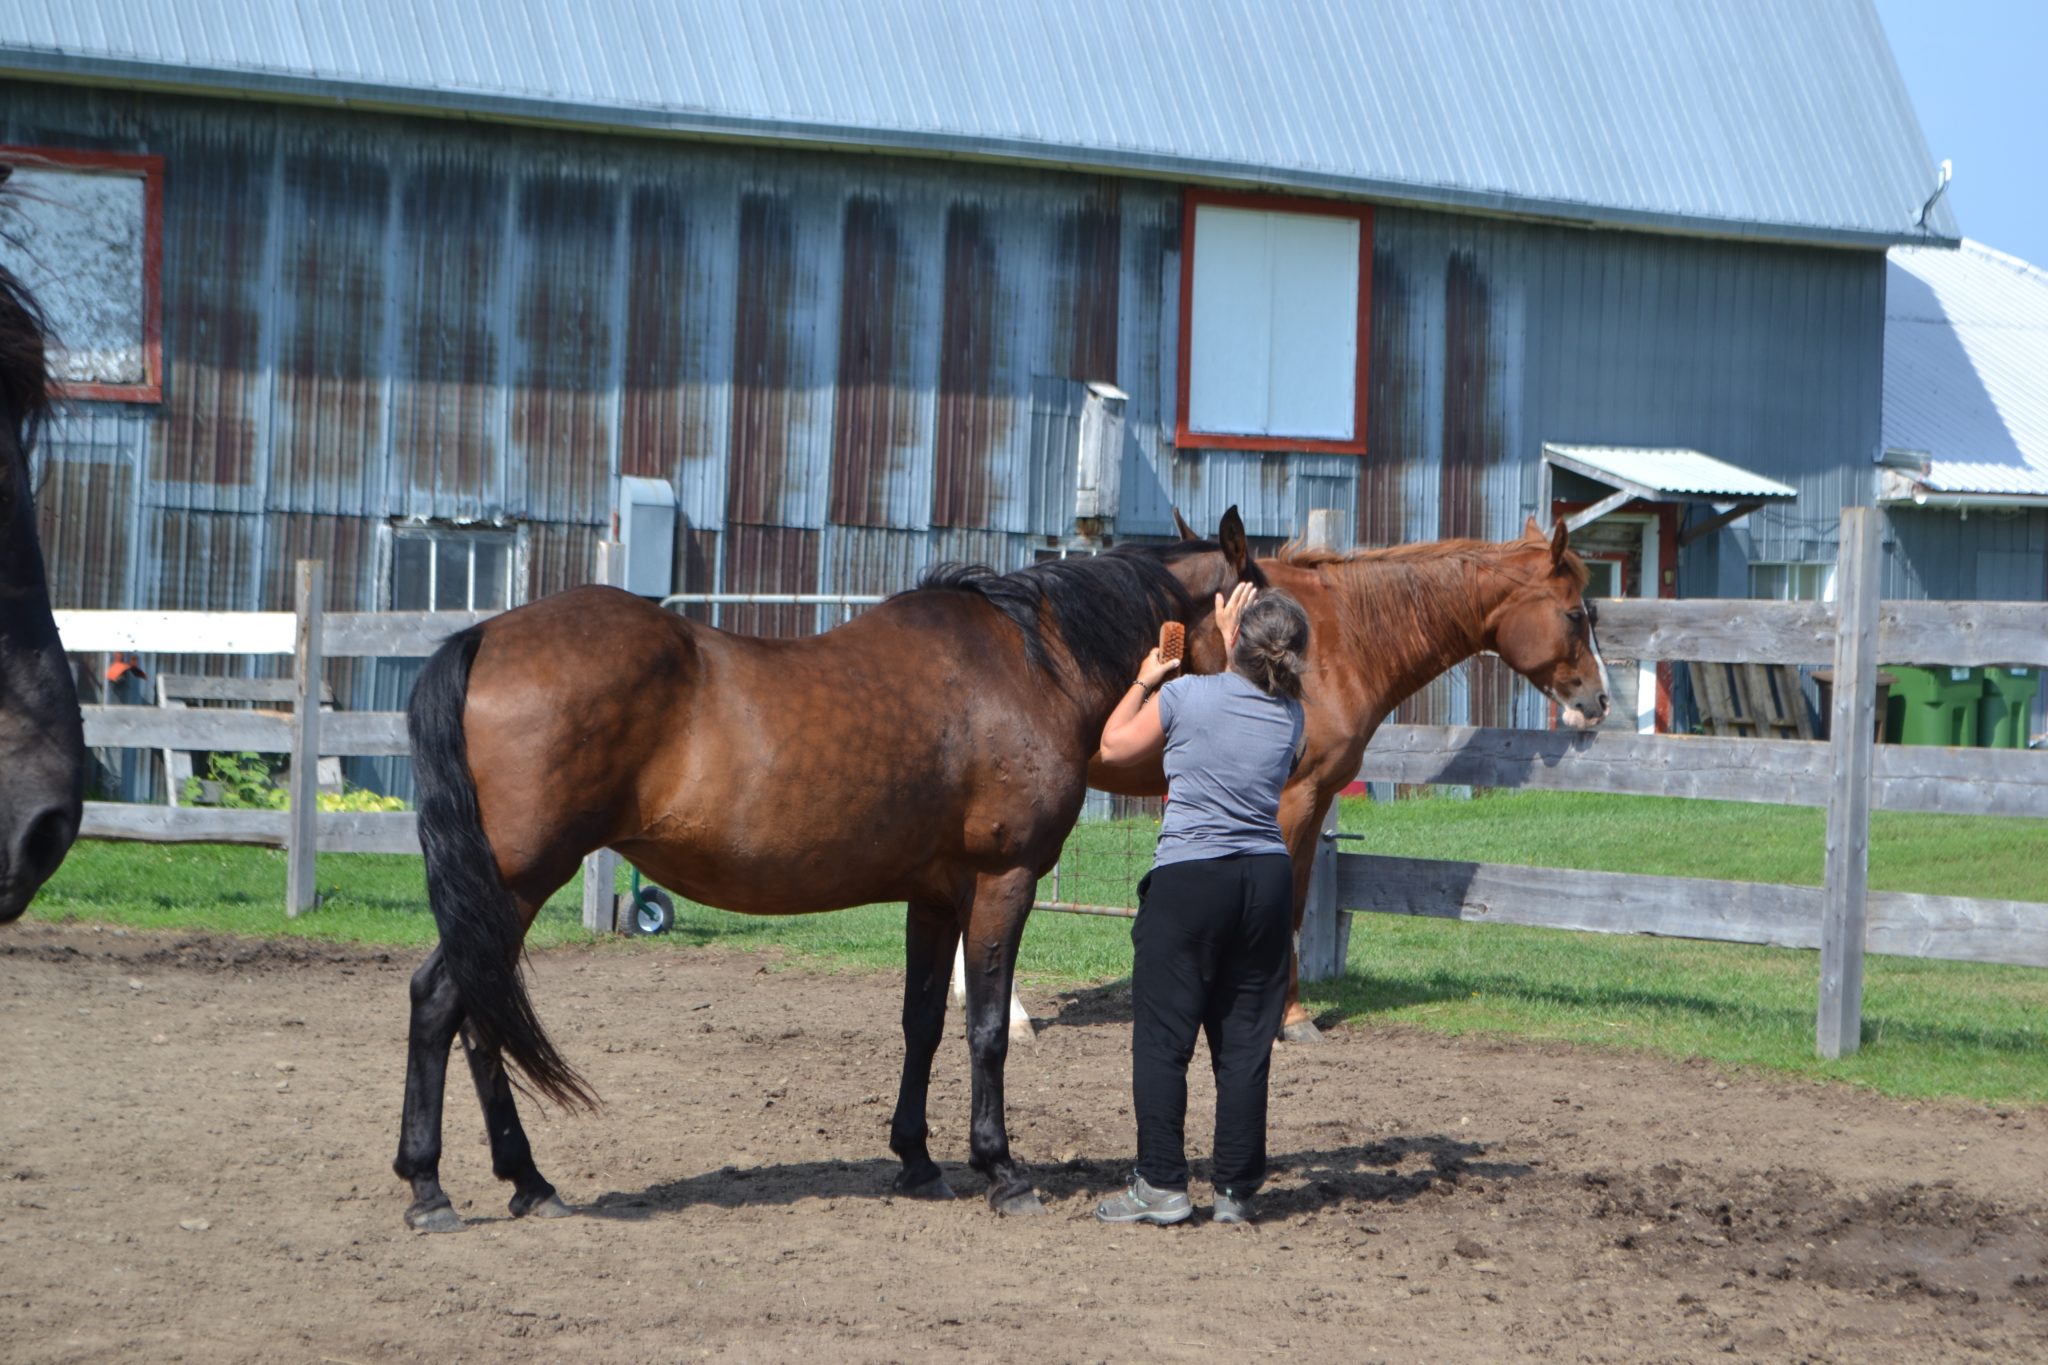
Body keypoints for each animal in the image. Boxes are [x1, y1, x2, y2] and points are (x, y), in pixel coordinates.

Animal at [395, 509, 1262, 1230]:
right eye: (1265, 607)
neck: (1030, 666)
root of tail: (486, 639)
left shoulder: (934, 897)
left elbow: (922, 1022)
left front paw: (916, 1159)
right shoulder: (1002, 880)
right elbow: (985, 1028)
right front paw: (1001, 1169)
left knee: (474, 1014)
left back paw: (523, 1181)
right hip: (516, 884)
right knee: (446, 1002)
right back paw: (433, 1187)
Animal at [1089, 515, 1612, 1040]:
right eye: (1574, 615)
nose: (1600, 700)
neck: (1333, 642)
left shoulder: (1316, 799)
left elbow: (1298, 900)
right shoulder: (1291, 799)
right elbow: (1283, 903)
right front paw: (1290, 1017)